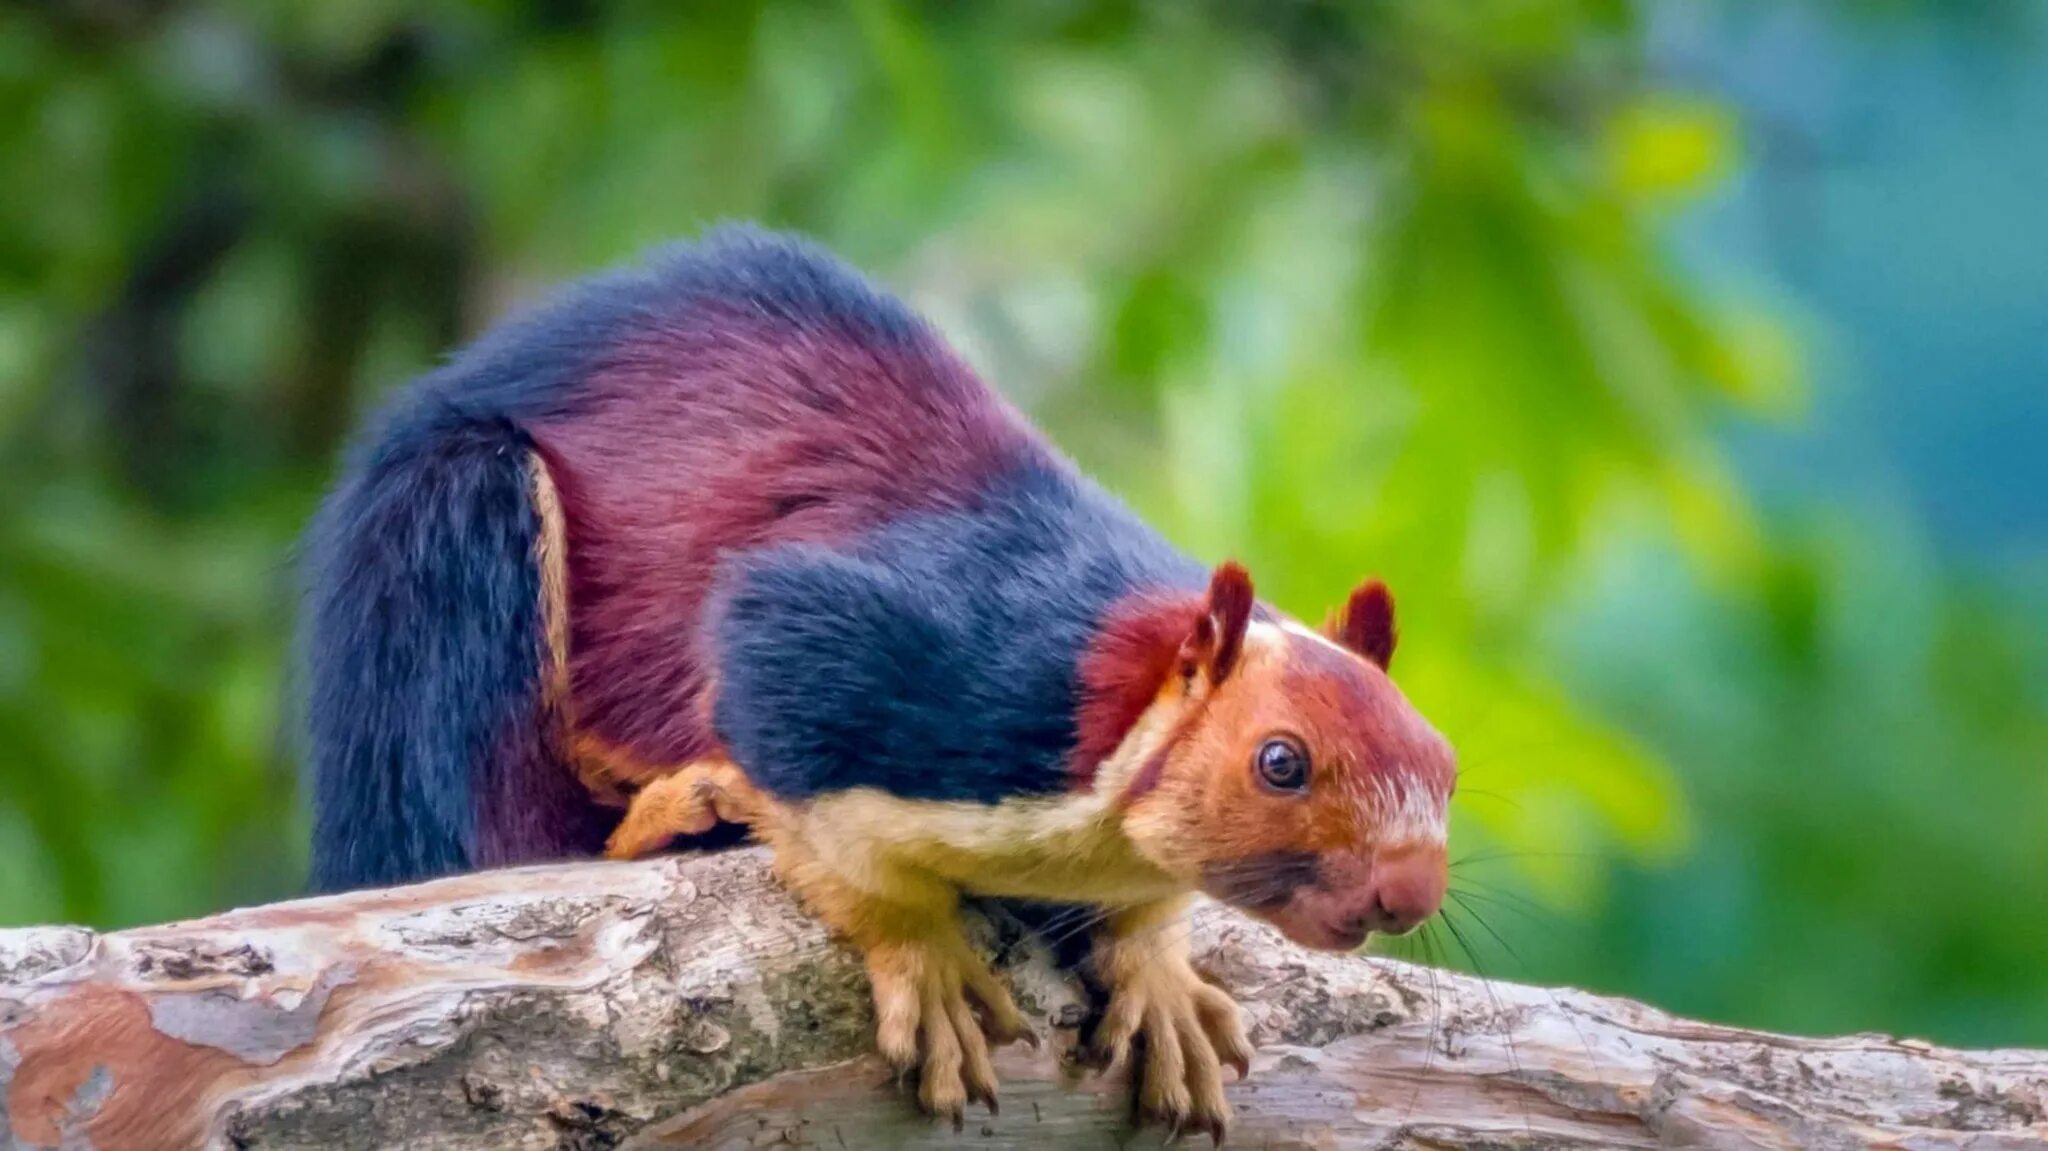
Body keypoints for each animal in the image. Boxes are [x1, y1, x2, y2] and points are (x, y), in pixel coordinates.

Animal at [299, 224, 1458, 1138]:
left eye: (1445, 763)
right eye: (1280, 761)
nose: (1409, 889)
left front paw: (1159, 971)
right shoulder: (889, 655)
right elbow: (819, 795)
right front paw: (923, 956)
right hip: (451, 545)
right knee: (484, 837)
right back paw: (677, 814)